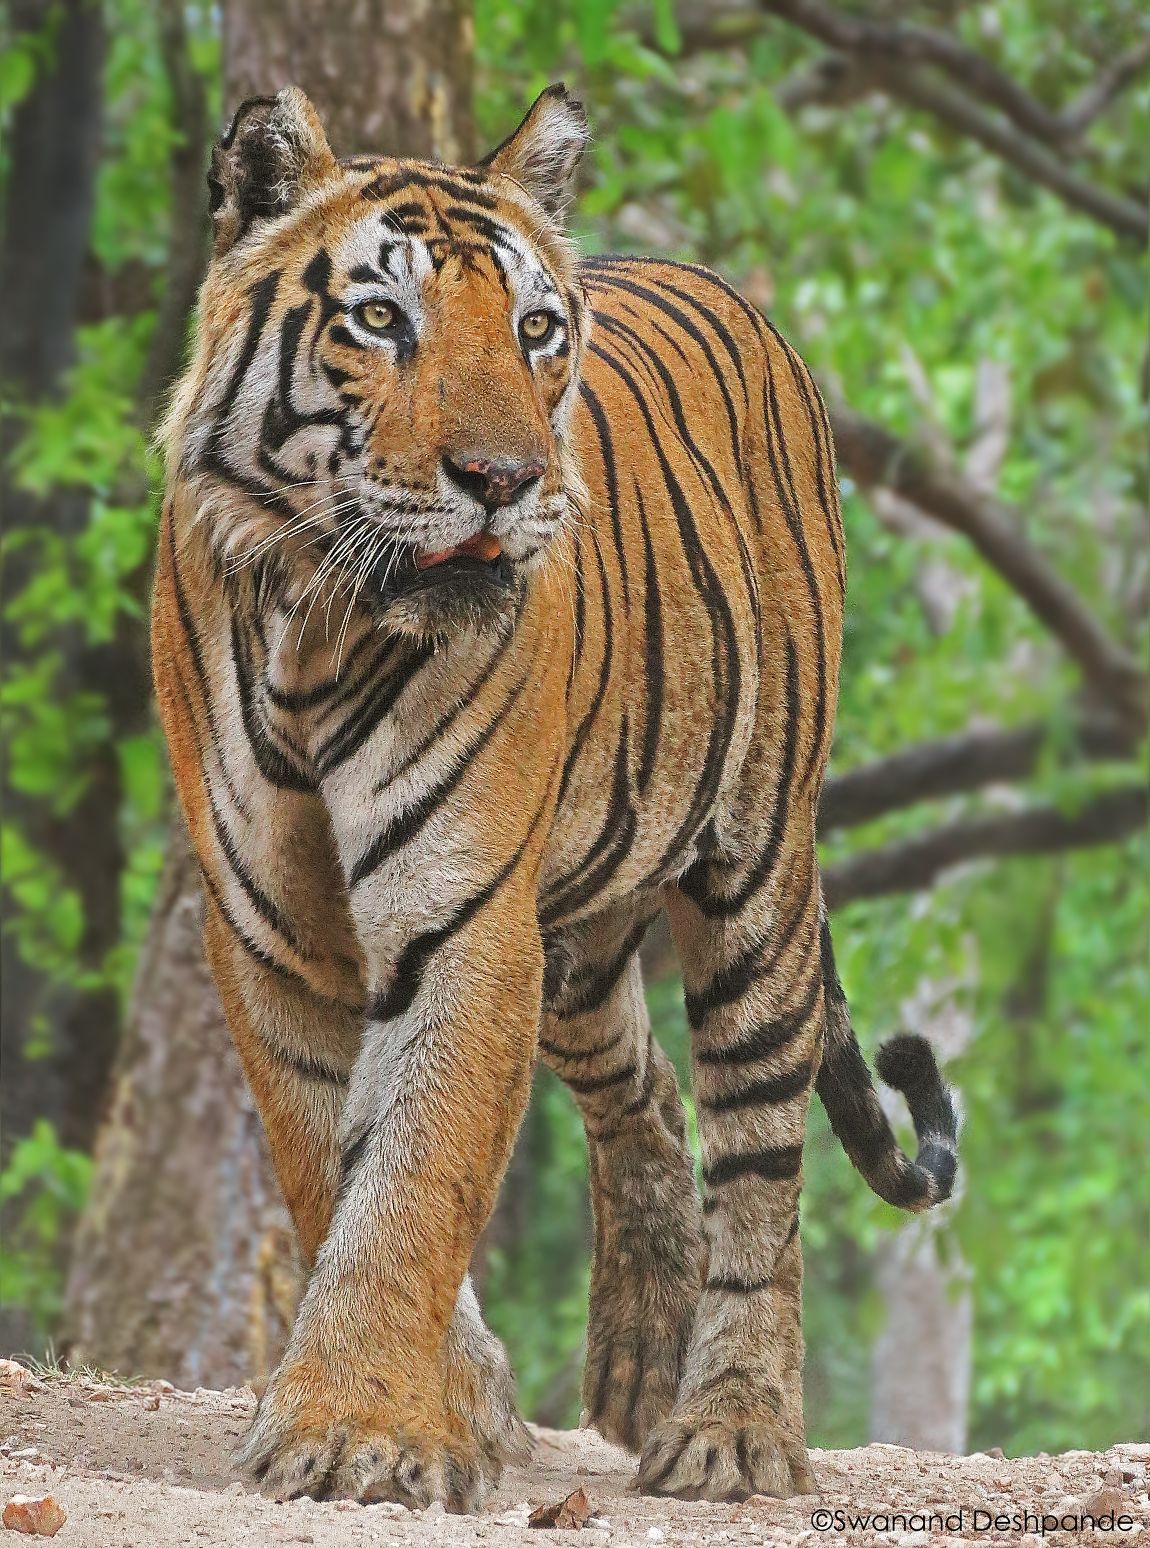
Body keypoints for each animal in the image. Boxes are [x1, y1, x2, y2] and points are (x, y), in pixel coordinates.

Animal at [155, 84, 959, 1510]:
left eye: (533, 330)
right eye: (382, 319)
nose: (505, 480)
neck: (317, 624)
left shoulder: (461, 915)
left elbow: (413, 1177)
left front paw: (355, 1431)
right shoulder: (269, 930)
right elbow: (335, 1167)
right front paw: (445, 1408)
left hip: (756, 876)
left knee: (758, 1160)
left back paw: (731, 1429)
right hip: (579, 943)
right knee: (643, 1094)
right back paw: (638, 1364)